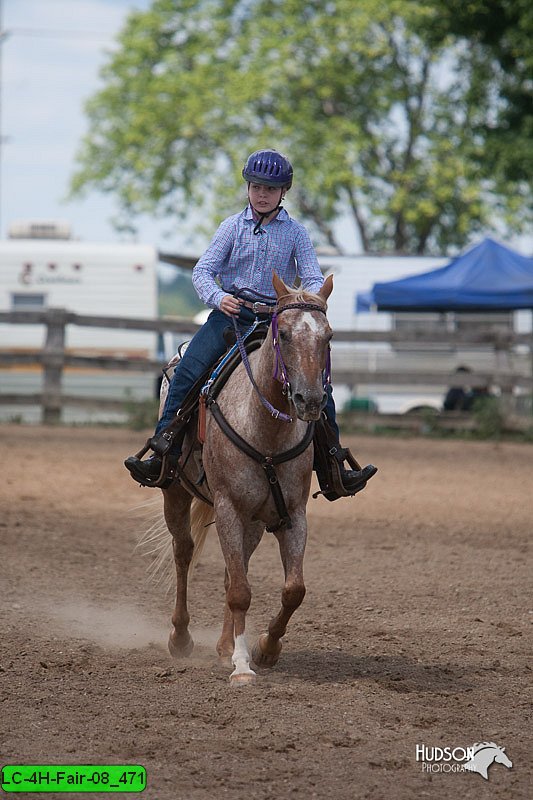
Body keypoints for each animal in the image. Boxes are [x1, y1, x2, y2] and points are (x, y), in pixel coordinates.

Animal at [158, 272, 332, 684]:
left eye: (328, 336)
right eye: (284, 334)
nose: (310, 400)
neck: (265, 430)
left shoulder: (292, 515)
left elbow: (292, 589)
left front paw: (265, 649)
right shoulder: (228, 508)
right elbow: (240, 592)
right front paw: (241, 666)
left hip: (251, 522)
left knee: (231, 572)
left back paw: (223, 647)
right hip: (176, 492)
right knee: (184, 553)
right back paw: (181, 638)